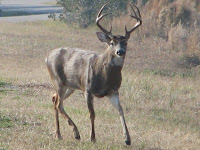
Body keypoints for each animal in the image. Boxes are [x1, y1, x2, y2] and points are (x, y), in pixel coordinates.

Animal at [46, 3, 141, 145]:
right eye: (112, 42)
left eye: (125, 42)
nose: (120, 51)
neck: (105, 77)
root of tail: (47, 57)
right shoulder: (87, 89)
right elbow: (92, 114)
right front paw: (93, 138)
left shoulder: (113, 91)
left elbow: (120, 110)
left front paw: (127, 139)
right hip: (58, 80)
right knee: (58, 103)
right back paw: (73, 133)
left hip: (70, 86)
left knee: (54, 99)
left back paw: (60, 134)